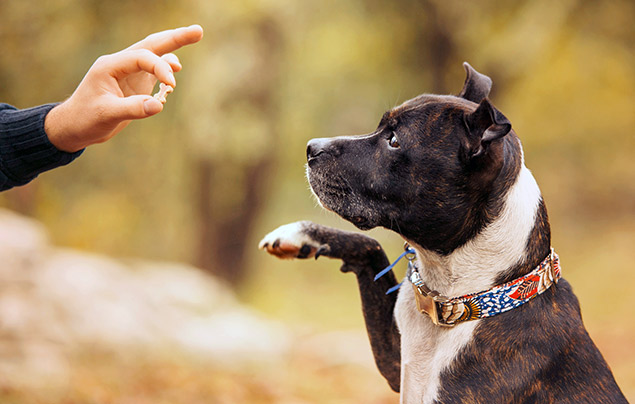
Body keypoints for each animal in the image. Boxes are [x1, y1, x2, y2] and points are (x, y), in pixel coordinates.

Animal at [258, 63, 628, 404]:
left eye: (394, 141)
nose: (311, 148)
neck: (456, 300)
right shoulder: (396, 362)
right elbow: (371, 246)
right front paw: (299, 235)